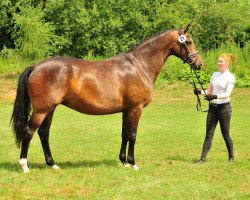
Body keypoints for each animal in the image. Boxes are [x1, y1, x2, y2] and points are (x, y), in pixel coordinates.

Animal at [11, 23, 203, 172]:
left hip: (50, 109)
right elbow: (133, 135)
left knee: (44, 134)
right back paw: (24, 166)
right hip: (41, 110)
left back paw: (53, 165)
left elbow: (125, 134)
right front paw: (133, 163)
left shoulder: (127, 110)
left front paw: (124, 161)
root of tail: (36, 66)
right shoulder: (136, 109)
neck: (138, 65)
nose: (199, 64)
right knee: (29, 132)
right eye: (189, 41)